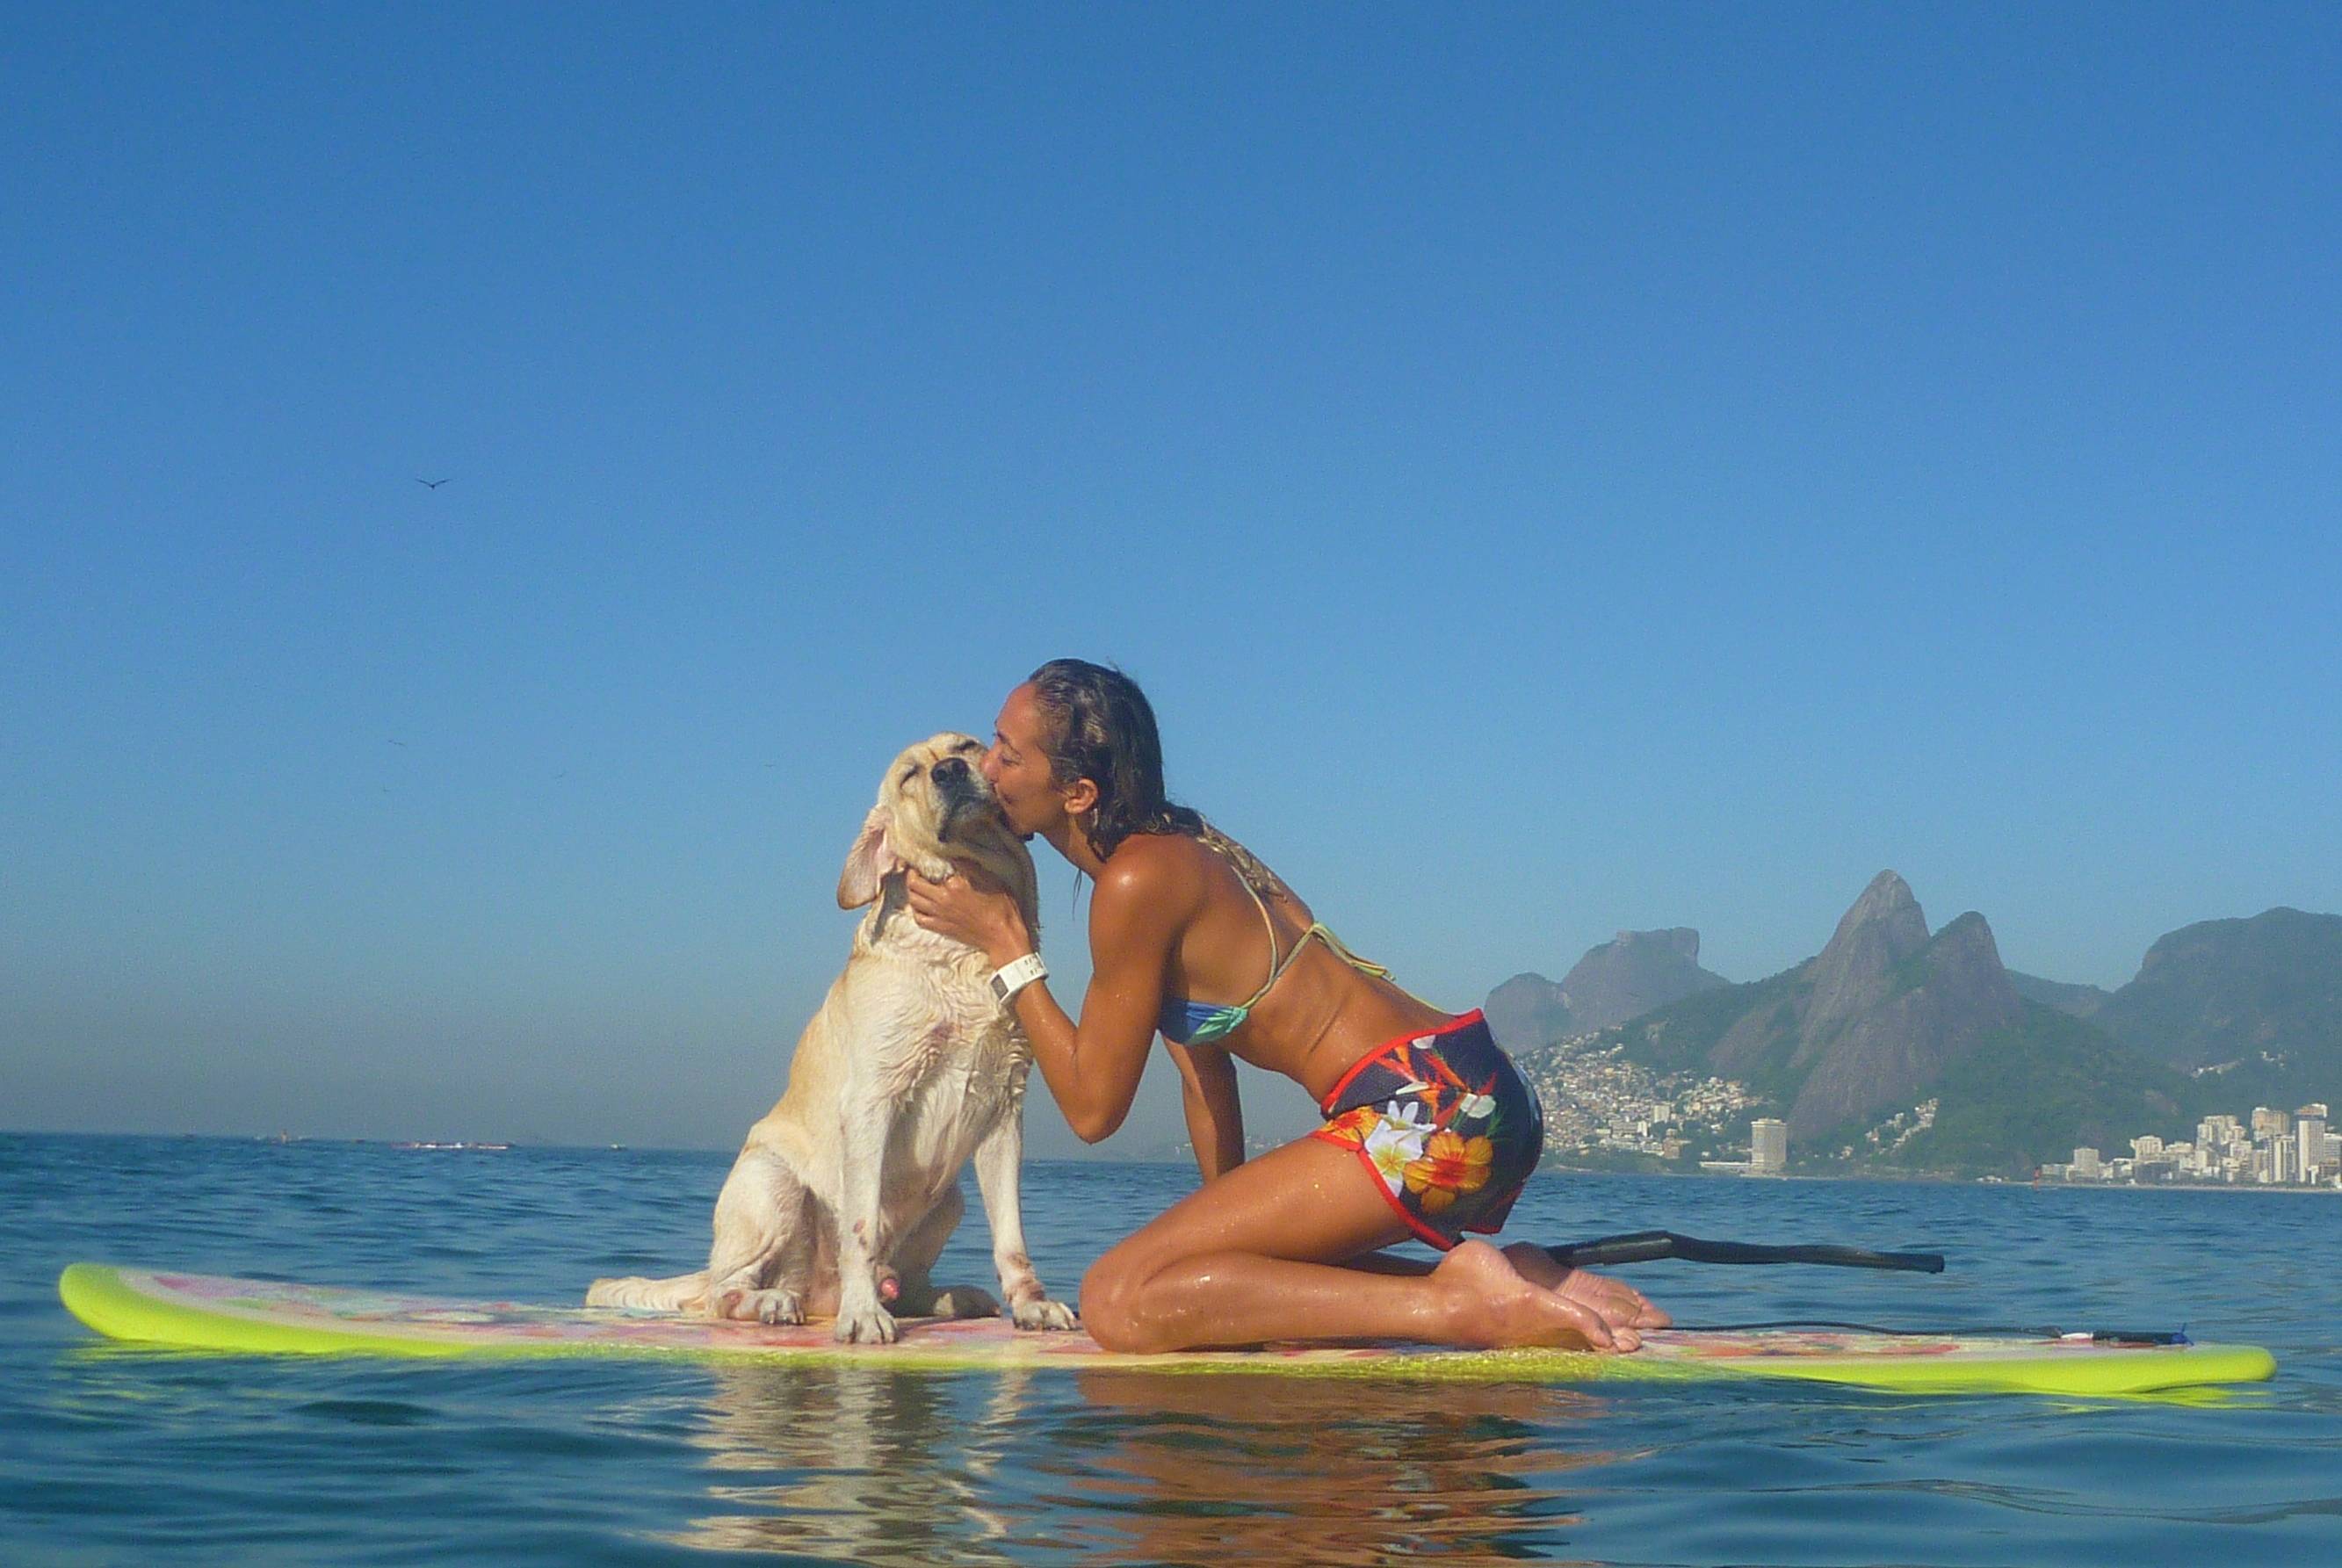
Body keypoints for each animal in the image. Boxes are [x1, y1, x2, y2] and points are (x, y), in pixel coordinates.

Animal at [585, 730, 1077, 1348]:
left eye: (966, 745)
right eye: (909, 776)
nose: (949, 772)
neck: (961, 953)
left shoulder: (1003, 1110)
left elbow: (1012, 1237)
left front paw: (1032, 1304)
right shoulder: (873, 1101)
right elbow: (860, 1229)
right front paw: (863, 1314)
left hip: (951, 1199)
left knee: (905, 1283)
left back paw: (950, 1296)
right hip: (771, 1184)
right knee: (725, 1292)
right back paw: (775, 1300)